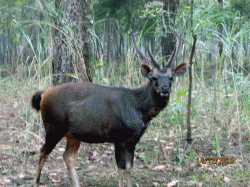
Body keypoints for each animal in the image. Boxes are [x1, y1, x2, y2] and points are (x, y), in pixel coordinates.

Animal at [31, 31, 187, 186]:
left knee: (68, 156)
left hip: (73, 134)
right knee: (43, 152)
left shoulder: (133, 140)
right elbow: (121, 169)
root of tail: (43, 94)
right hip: (53, 126)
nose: (165, 88)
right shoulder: (118, 135)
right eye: (153, 77)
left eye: (171, 77)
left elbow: (129, 168)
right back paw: (36, 182)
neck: (138, 109)